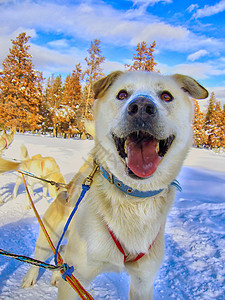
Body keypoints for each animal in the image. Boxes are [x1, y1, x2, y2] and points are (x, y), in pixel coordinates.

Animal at [21, 71, 207, 298]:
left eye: (166, 96)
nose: (142, 107)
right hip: (52, 234)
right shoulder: (77, 275)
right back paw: (30, 278)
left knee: (62, 257)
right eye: (122, 94)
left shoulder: (143, 282)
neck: (133, 197)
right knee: (42, 254)